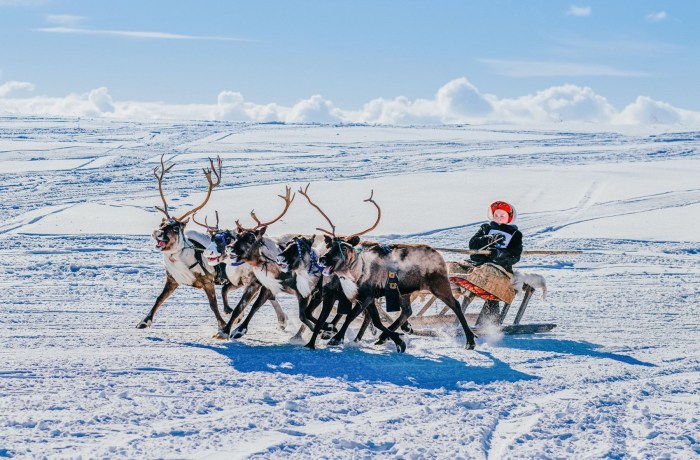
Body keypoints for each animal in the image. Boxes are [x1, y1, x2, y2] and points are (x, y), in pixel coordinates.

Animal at [137, 154, 228, 330]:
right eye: (162, 223)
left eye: (175, 228)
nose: (156, 233)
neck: (180, 260)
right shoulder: (172, 280)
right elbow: (159, 299)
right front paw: (144, 321)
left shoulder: (208, 281)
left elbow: (213, 305)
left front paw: (222, 325)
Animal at [310, 191, 478, 351]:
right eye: (329, 245)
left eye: (344, 247)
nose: (323, 259)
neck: (358, 270)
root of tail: (440, 255)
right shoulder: (366, 296)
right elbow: (372, 318)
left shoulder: (367, 295)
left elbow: (351, 315)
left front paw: (336, 337)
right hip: (404, 291)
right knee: (407, 311)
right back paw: (385, 336)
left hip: (438, 284)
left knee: (456, 305)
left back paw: (470, 340)